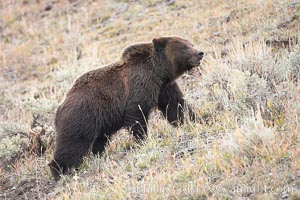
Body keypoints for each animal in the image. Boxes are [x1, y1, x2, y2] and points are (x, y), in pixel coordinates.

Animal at [49, 36, 204, 181]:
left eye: (191, 43)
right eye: (184, 46)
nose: (200, 53)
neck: (159, 72)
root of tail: (60, 107)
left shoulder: (164, 88)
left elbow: (176, 106)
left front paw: (195, 120)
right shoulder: (139, 86)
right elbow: (137, 115)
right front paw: (143, 140)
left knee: (98, 141)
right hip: (82, 117)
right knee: (72, 144)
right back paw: (60, 171)